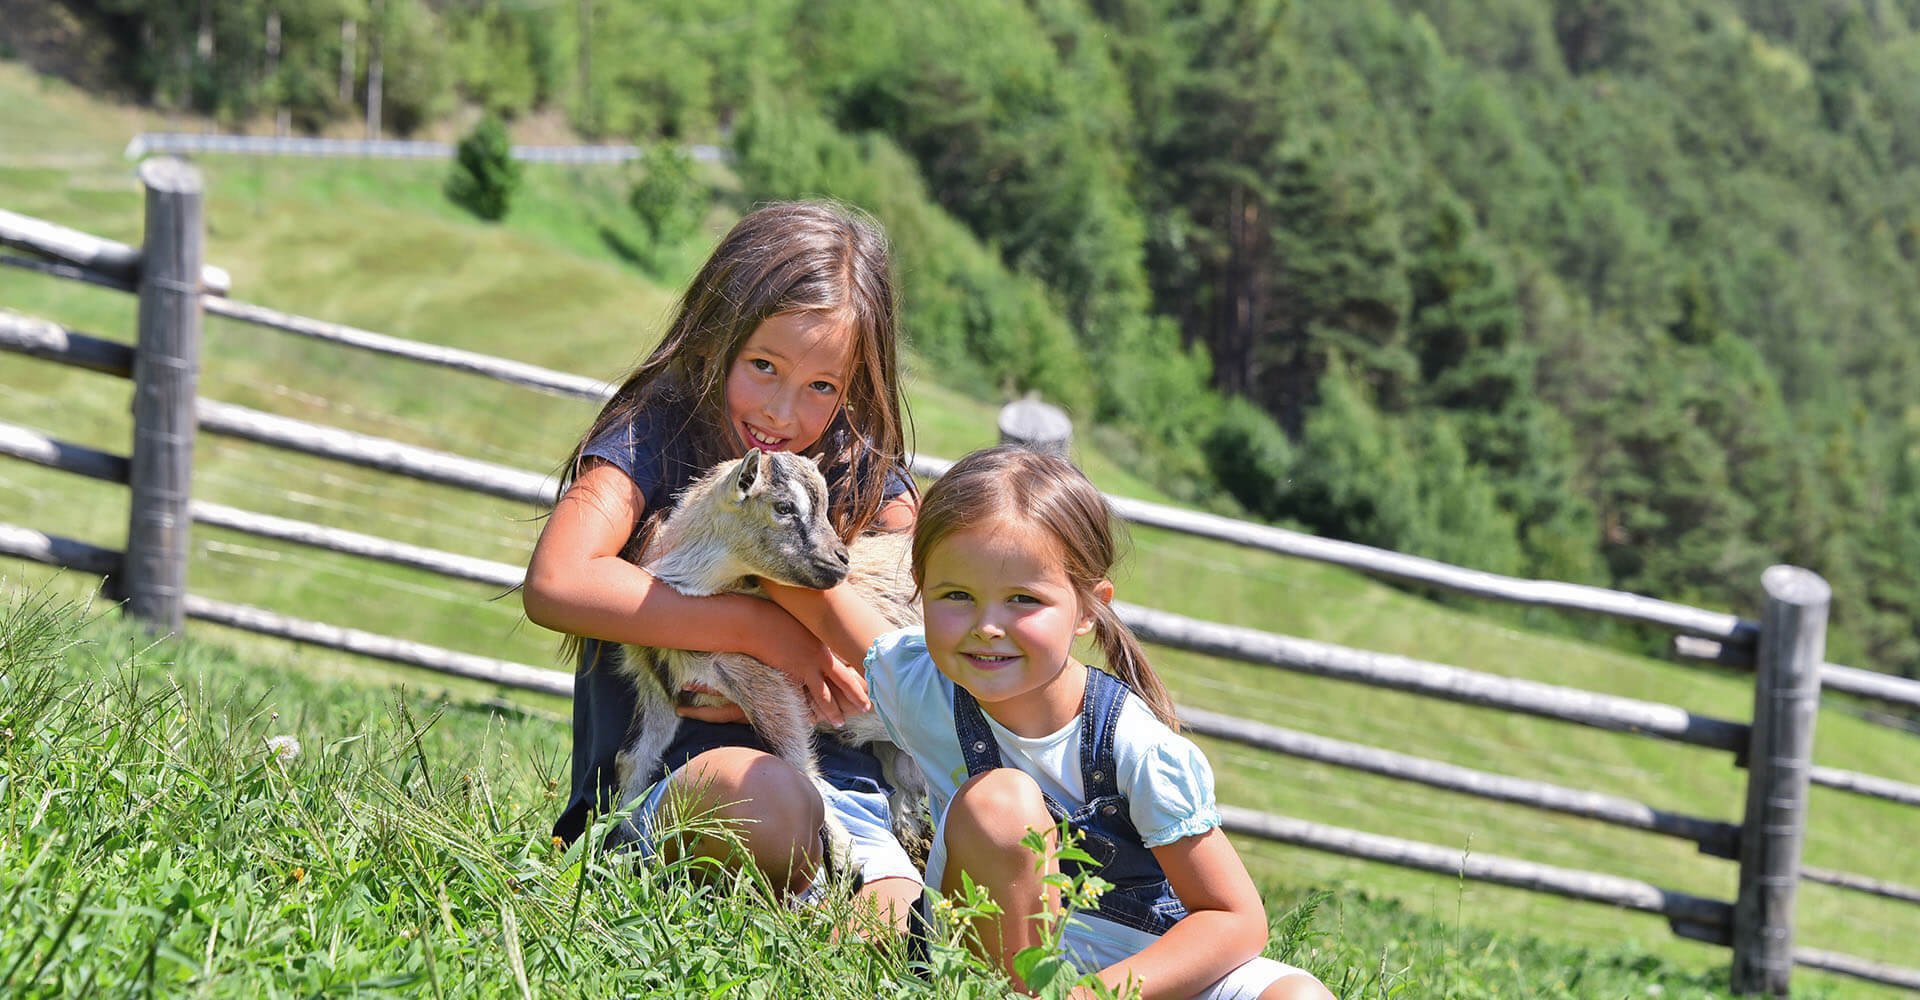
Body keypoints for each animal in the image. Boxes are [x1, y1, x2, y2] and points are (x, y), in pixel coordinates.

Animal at [602, 447, 925, 863]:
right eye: (784, 506)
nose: (840, 560)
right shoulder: (659, 689)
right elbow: (632, 760)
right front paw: (617, 842)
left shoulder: (769, 683)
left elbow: (798, 767)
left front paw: (844, 854)